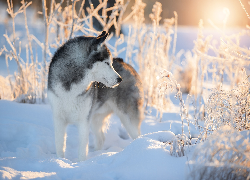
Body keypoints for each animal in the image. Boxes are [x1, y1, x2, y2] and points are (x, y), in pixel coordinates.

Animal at [47, 31, 144, 162]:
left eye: (111, 63)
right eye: (107, 63)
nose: (119, 79)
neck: (72, 85)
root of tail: (126, 64)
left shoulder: (83, 121)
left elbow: (82, 149)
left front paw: (80, 163)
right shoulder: (59, 119)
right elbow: (59, 145)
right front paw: (60, 161)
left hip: (127, 118)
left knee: (137, 136)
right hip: (95, 118)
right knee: (101, 138)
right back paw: (97, 155)